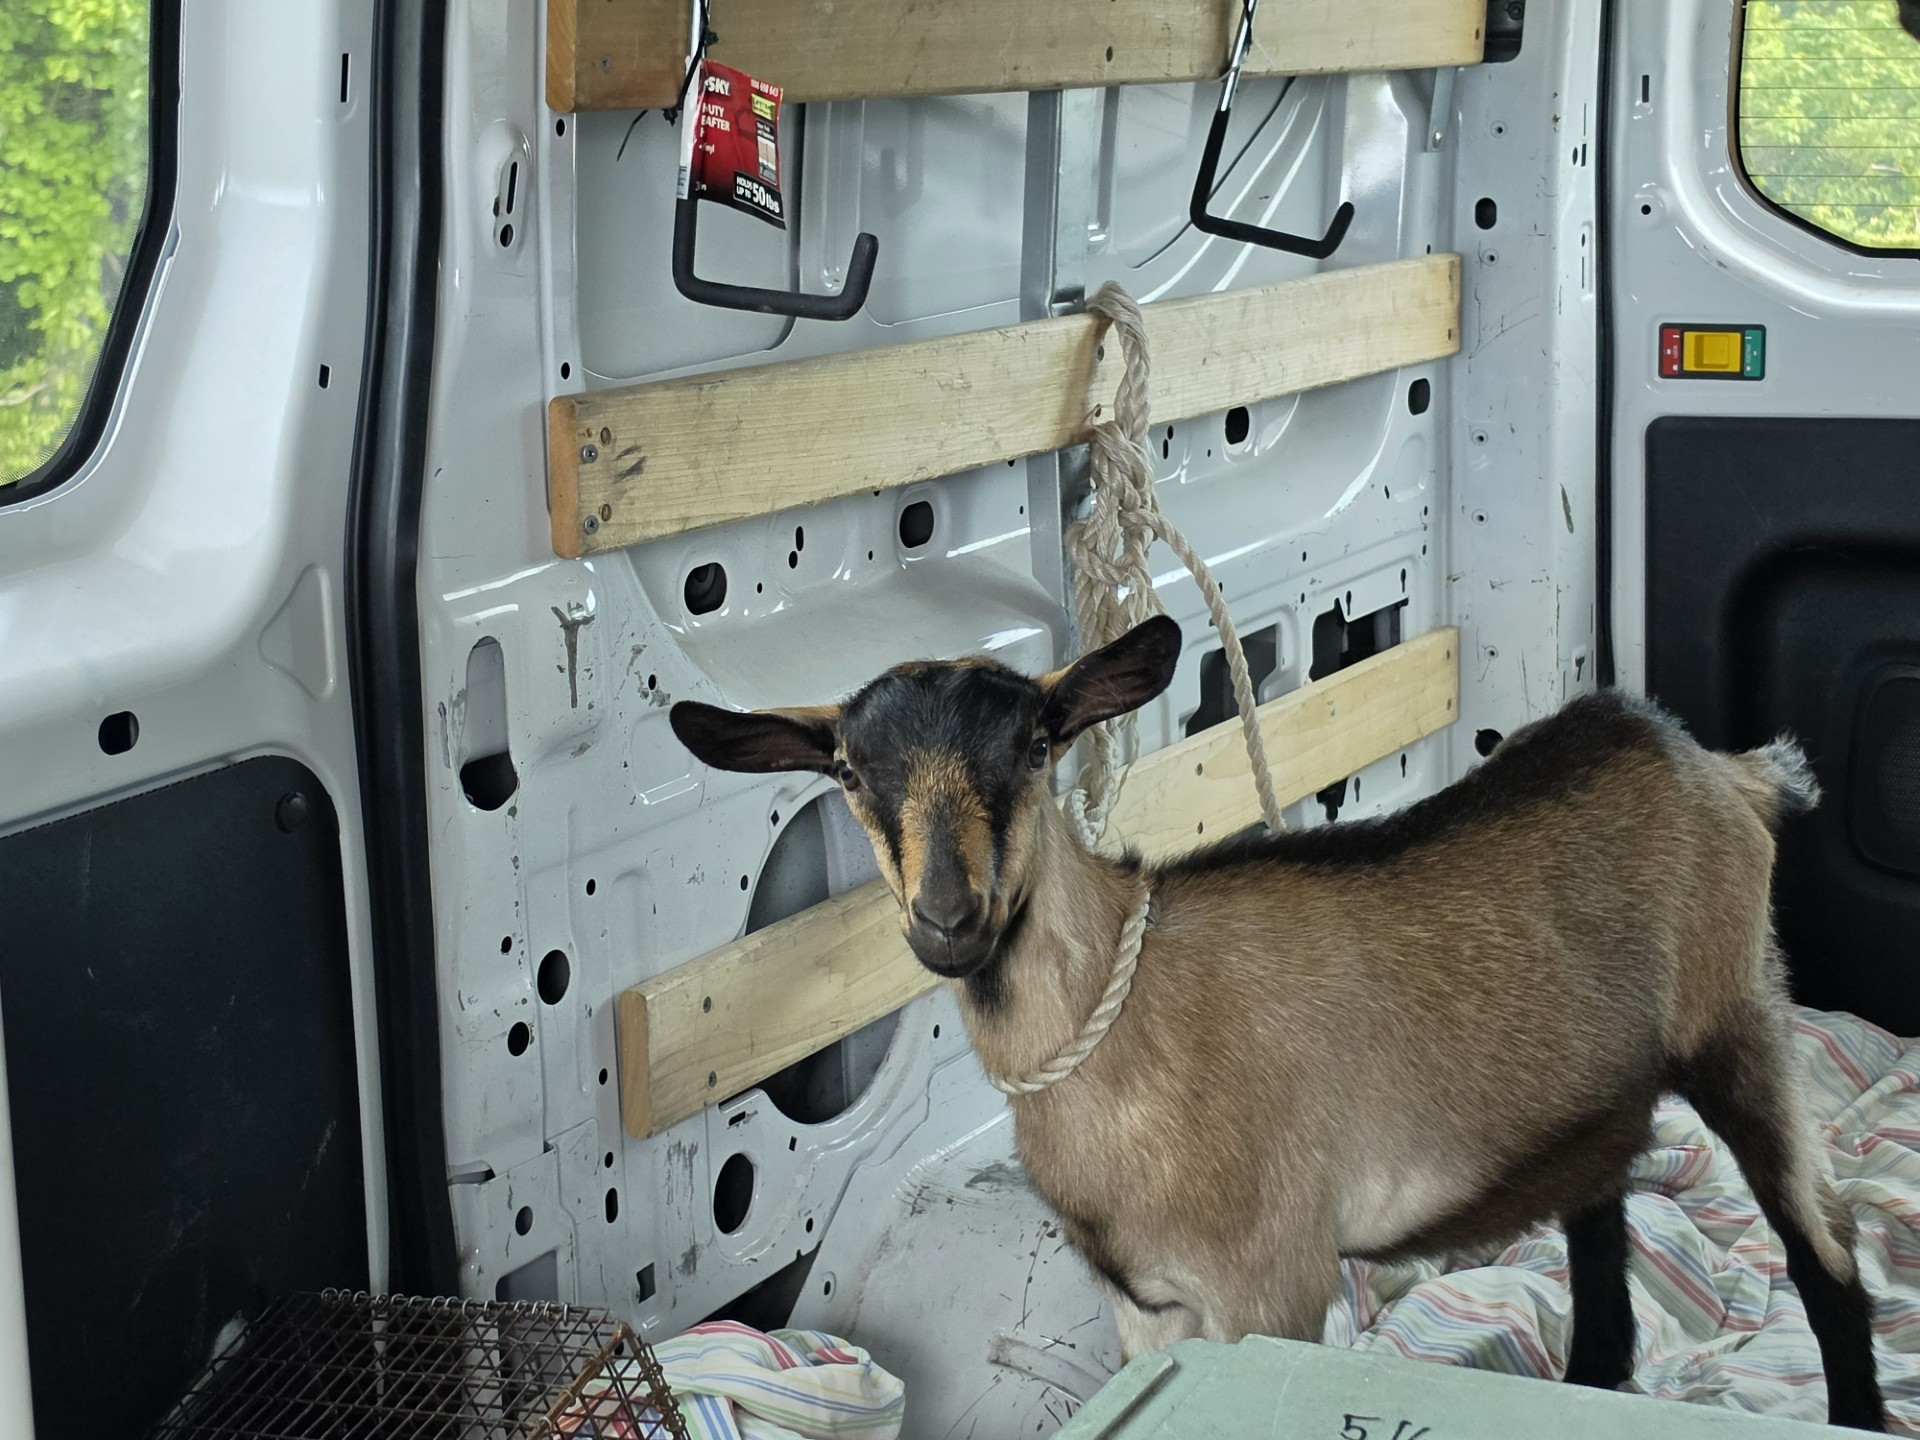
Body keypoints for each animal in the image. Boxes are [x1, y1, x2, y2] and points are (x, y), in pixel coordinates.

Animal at [670, 616, 1885, 1430]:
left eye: (1035, 743)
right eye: (848, 772)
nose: (948, 918)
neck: (1122, 1028)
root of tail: (1721, 769)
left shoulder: (1276, 1284)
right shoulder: (1143, 1306)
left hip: (1741, 1015)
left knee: (1826, 1248)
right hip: (1587, 1099)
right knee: (1601, 1228)